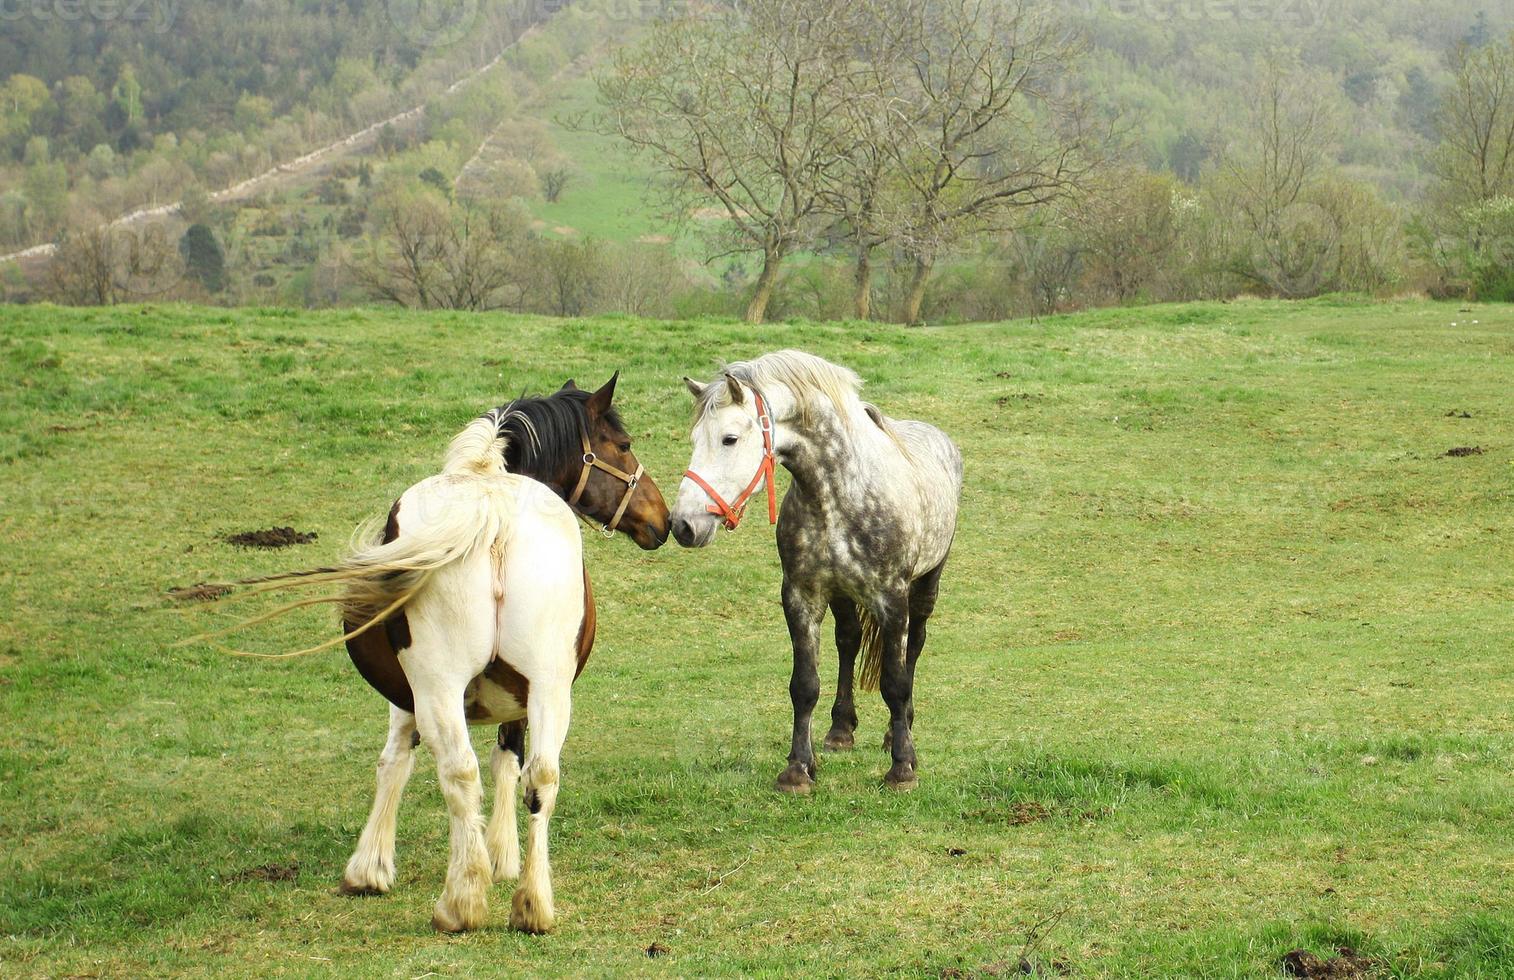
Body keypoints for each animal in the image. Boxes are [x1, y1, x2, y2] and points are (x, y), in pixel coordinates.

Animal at [672, 348, 956, 793]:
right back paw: (841, 730)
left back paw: (899, 732)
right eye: (695, 440)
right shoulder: (801, 597)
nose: (683, 524)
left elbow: (895, 683)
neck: (838, 495)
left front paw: (902, 768)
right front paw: (798, 770)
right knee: (848, 641)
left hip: (925, 586)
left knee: (914, 647)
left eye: (729, 438)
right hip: (842, 595)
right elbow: (804, 685)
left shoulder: (892, 599)